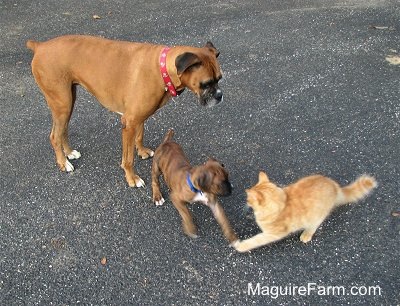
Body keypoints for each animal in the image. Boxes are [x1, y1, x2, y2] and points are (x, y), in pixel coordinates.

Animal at [26, 33, 223, 186]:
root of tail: (40, 46)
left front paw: (142, 151)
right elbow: (128, 158)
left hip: (68, 101)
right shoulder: (129, 123)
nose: (220, 95)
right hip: (62, 103)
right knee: (54, 136)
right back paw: (63, 162)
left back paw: (69, 153)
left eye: (220, 78)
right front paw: (132, 178)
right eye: (206, 83)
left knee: (63, 130)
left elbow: (140, 135)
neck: (162, 69)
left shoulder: (139, 118)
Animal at [233, 171, 376, 252]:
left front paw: (241, 246)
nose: (245, 201)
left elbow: (255, 240)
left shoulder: (272, 234)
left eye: (248, 199)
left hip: (316, 217)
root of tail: (336, 187)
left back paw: (306, 235)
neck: (282, 203)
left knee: (313, 227)